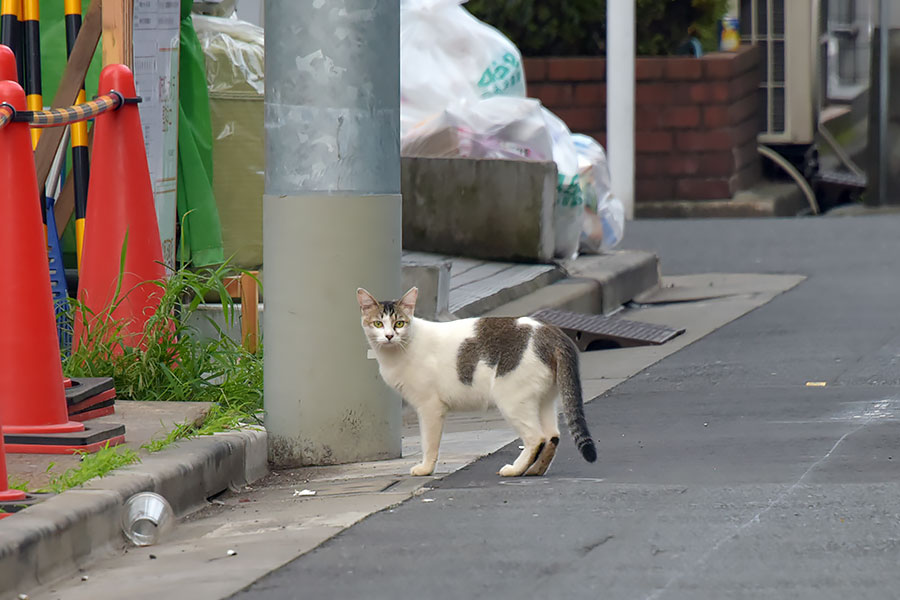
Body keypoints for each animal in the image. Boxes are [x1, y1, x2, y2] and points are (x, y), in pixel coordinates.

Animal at [356, 286, 596, 478]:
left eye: (399, 323)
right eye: (378, 323)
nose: (389, 336)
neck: (396, 354)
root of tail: (552, 331)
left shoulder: (429, 407)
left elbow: (429, 443)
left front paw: (425, 469)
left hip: (512, 399)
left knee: (536, 438)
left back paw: (515, 470)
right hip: (544, 399)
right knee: (552, 436)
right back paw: (535, 471)